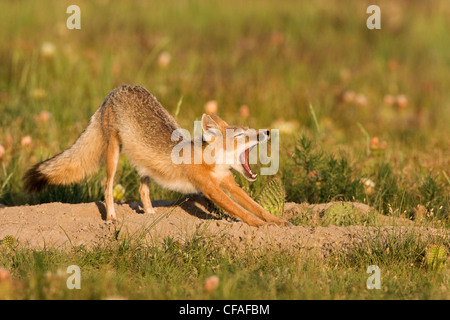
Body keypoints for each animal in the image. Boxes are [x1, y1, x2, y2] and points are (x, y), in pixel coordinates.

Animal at [22, 85, 292, 228]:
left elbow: (255, 206)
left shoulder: (228, 183)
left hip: (143, 166)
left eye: (252, 130)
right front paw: (262, 227)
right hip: (113, 155)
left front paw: (278, 222)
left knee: (143, 190)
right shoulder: (210, 188)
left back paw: (151, 215)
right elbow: (242, 212)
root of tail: (116, 90)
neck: (212, 163)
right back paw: (111, 218)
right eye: (242, 136)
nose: (267, 132)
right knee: (107, 188)